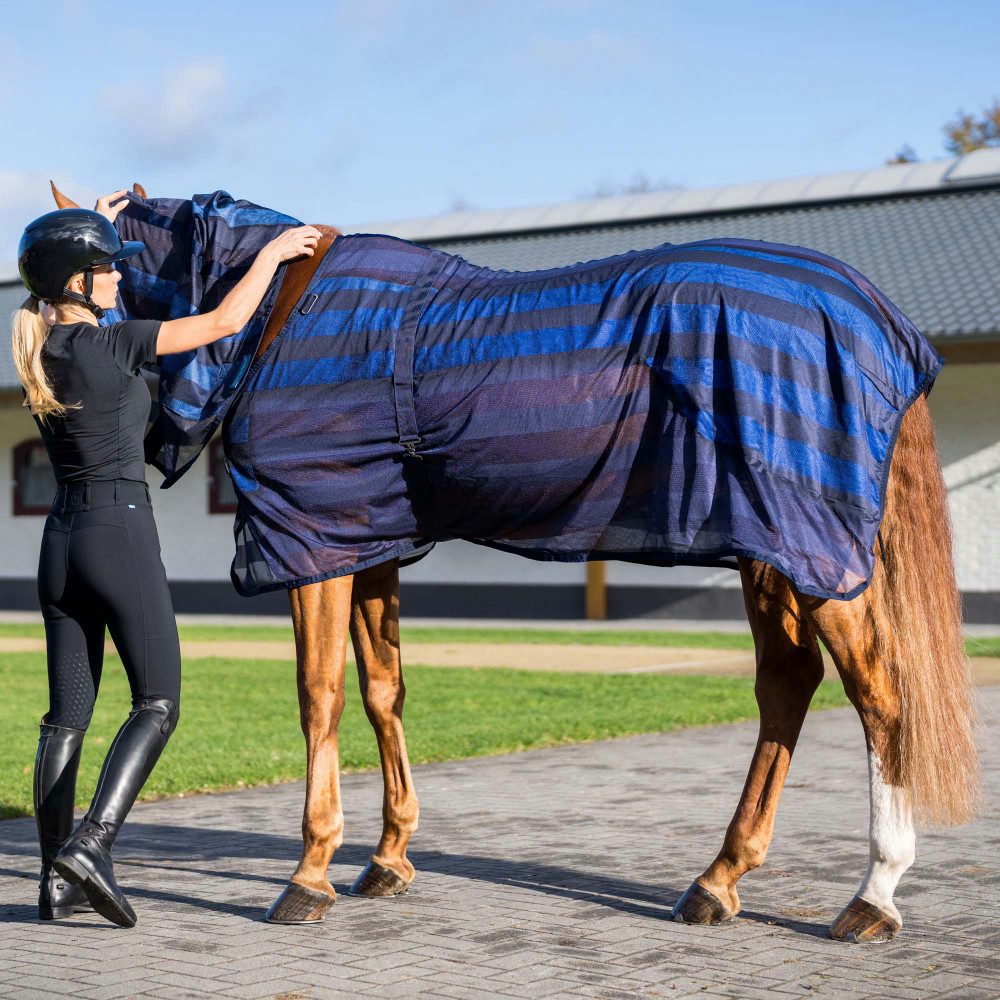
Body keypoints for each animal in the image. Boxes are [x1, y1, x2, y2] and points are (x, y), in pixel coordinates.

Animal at [48, 182, 980, 941]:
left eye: (118, 263)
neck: (291, 306)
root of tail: (877, 318)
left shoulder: (313, 541)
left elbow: (320, 700)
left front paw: (309, 874)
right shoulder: (369, 540)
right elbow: (383, 691)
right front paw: (387, 860)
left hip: (813, 551)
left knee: (880, 695)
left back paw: (873, 895)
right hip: (771, 548)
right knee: (787, 685)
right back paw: (719, 880)